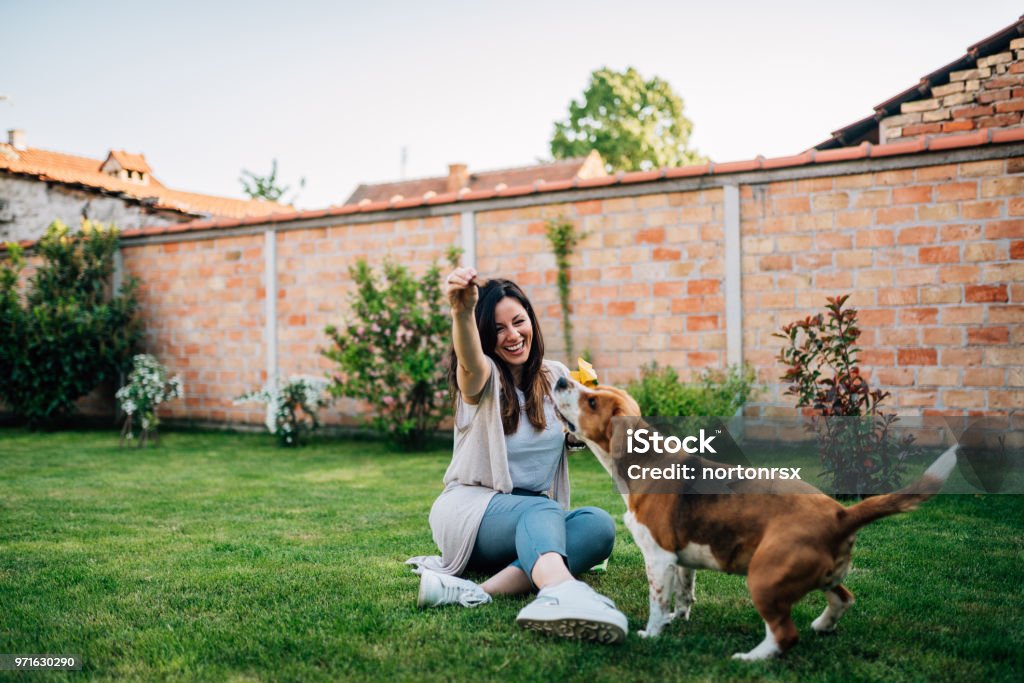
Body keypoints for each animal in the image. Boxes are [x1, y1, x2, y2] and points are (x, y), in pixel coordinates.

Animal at [552, 376, 958, 659]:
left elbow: (657, 603)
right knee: (843, 598)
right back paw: (822, 625)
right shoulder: (681, 560)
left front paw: (651, 634)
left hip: (764, 578)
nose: (559, 381)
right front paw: (676, 620)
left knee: (784, 634)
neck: (643, 462)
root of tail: (842, 513)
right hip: (822, 576)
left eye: (591, 400)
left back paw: (751, 658)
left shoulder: (658, 557)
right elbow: (683, 595)